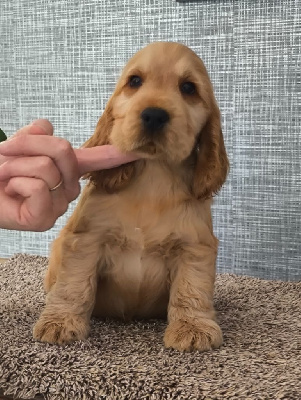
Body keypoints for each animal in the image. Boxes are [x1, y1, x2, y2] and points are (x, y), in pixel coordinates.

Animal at [33, 42, 227, 352]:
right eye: (135, 81)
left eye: (188, 87)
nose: (154, 115)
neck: (153, 176)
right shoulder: (86, 239)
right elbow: (73, 285)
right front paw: (60, 322)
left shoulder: (194, 246)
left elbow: (191, 288)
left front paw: (193, 327)